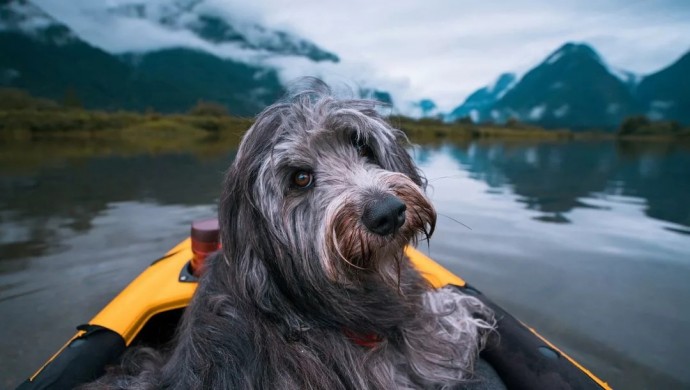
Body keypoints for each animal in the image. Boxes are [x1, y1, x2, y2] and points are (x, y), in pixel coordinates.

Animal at [87, 77, 494, 388]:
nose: (388, 213)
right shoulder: (406, 360)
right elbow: (451, 323)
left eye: (362, 145)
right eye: (300, 178)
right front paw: (455, 303)